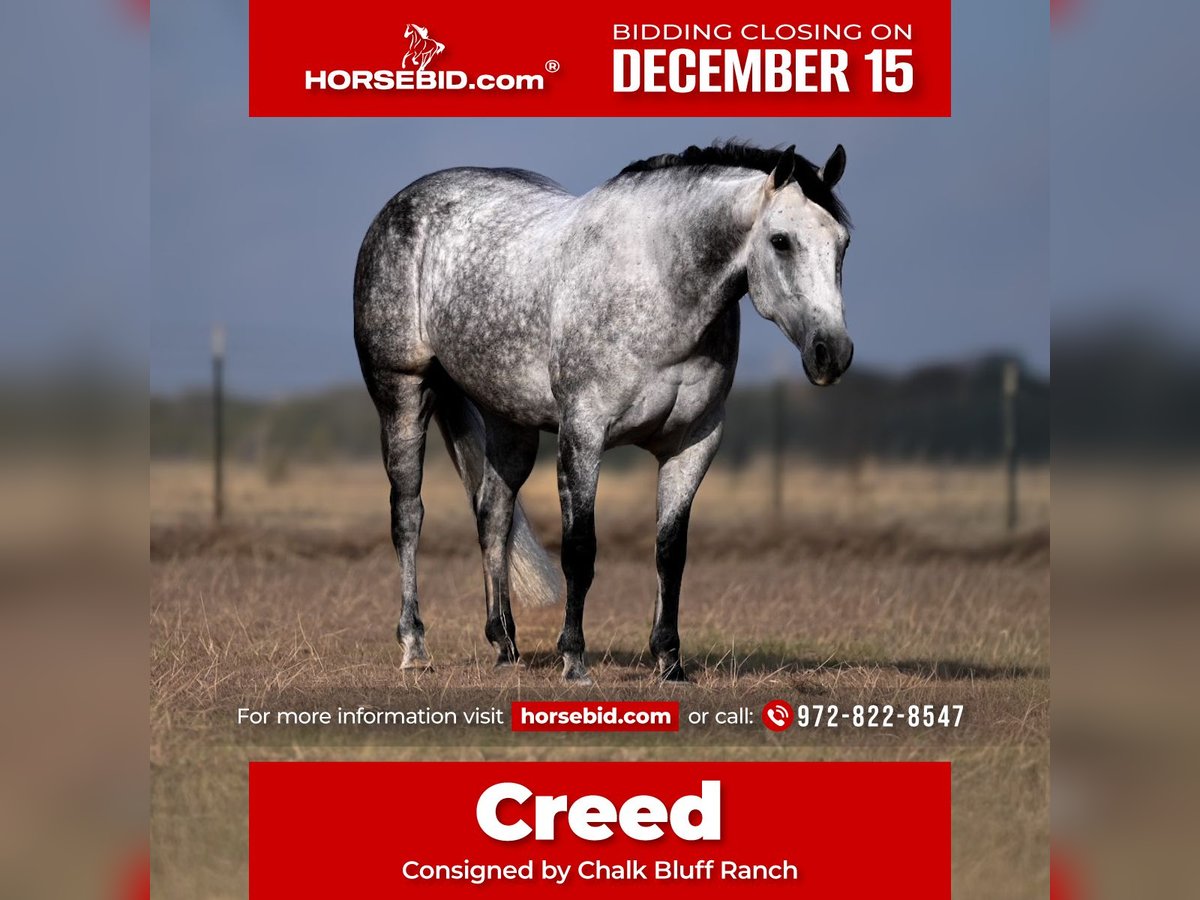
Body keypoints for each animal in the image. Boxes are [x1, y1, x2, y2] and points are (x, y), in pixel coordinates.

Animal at [354, 142, 854, 684]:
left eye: (843, 243)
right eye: (781, 241)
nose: (832, 354)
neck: (661, 283)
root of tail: (401, 205)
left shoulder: (693, 443)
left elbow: (670, 552)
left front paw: (670, 661)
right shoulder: (583, 435)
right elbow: (580, 549)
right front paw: (574, 659)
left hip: (510, 422)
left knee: (493, 515)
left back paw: (505, 645)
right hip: (403, 396)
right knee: (408, 515)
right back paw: (414, 646)